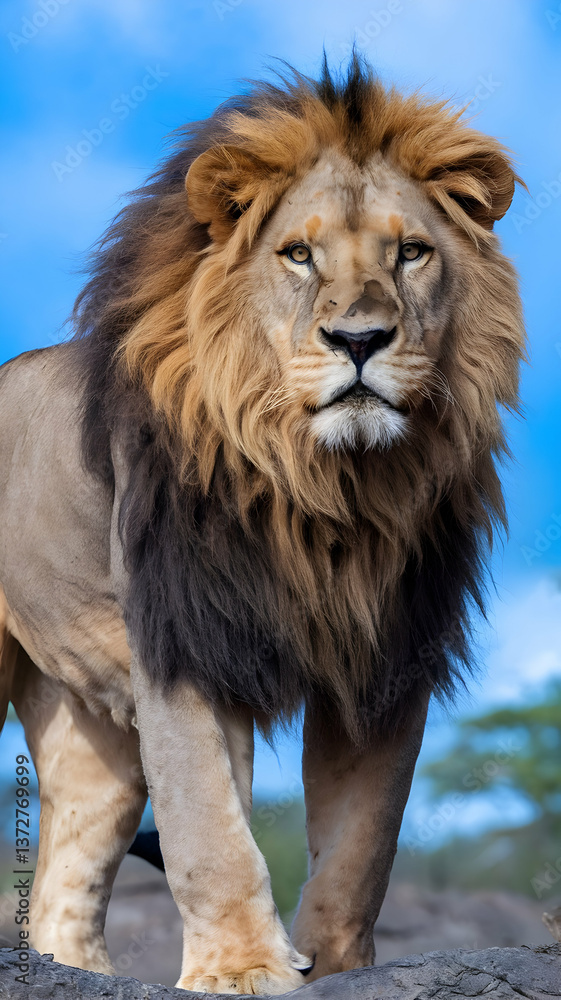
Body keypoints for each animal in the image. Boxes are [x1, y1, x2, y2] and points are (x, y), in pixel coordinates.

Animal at [0, 56, 524, 994]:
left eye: (411, 252)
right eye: (298, 254)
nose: (359, 339)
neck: (328, 485)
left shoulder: (386, 658)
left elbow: (360, 846)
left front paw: (334, 966)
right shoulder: (182, 642)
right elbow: (210, 830)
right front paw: (242, 970)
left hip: (87, 727)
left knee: (66, 877)